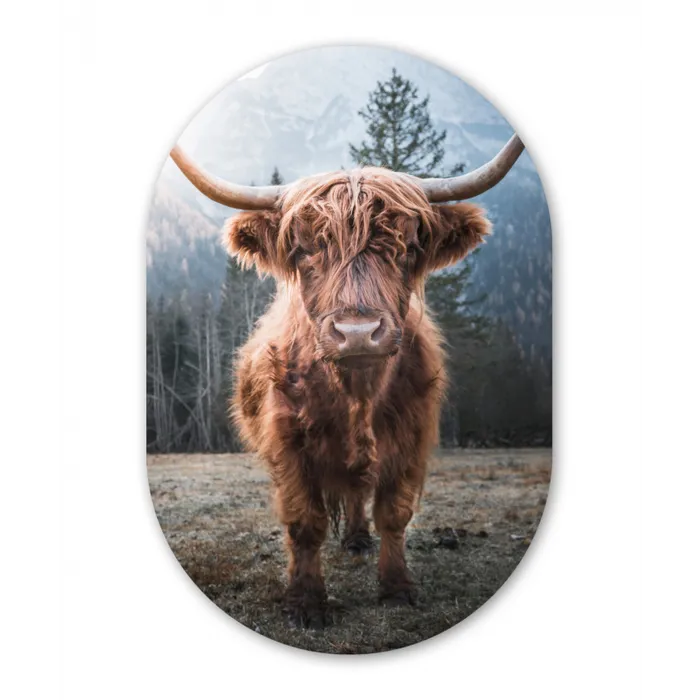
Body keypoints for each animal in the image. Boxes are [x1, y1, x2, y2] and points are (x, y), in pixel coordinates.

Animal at [169, 135, 525, 627]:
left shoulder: (412, 437)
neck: (357, 393)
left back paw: (358, 540)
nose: (358, 332)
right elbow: (305, 522)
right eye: (303, 250)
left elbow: (394, 513)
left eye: (407, 247)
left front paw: (396, 588)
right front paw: (305, 602)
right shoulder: (288, 443)